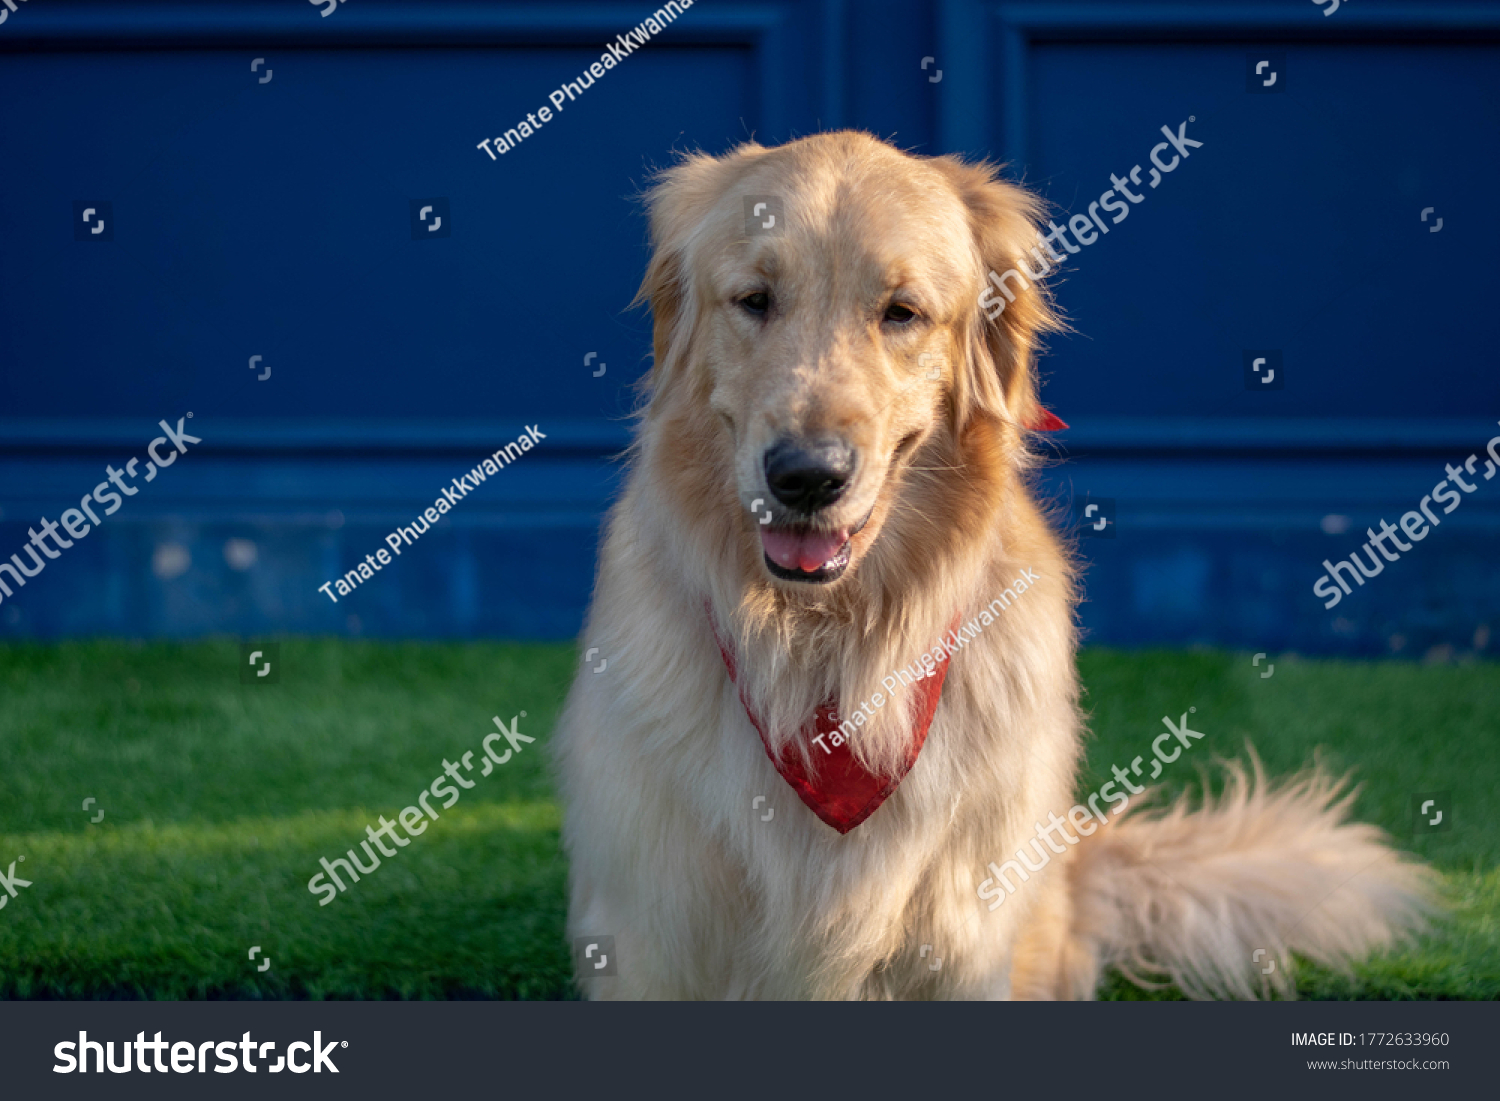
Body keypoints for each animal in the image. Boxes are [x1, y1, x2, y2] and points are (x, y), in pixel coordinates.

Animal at [552, 129, 1428, 1002]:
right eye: (755, 299)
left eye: (902, 312)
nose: (805, 476)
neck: (830, 649)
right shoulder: (655, 943)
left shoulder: (963, 945)